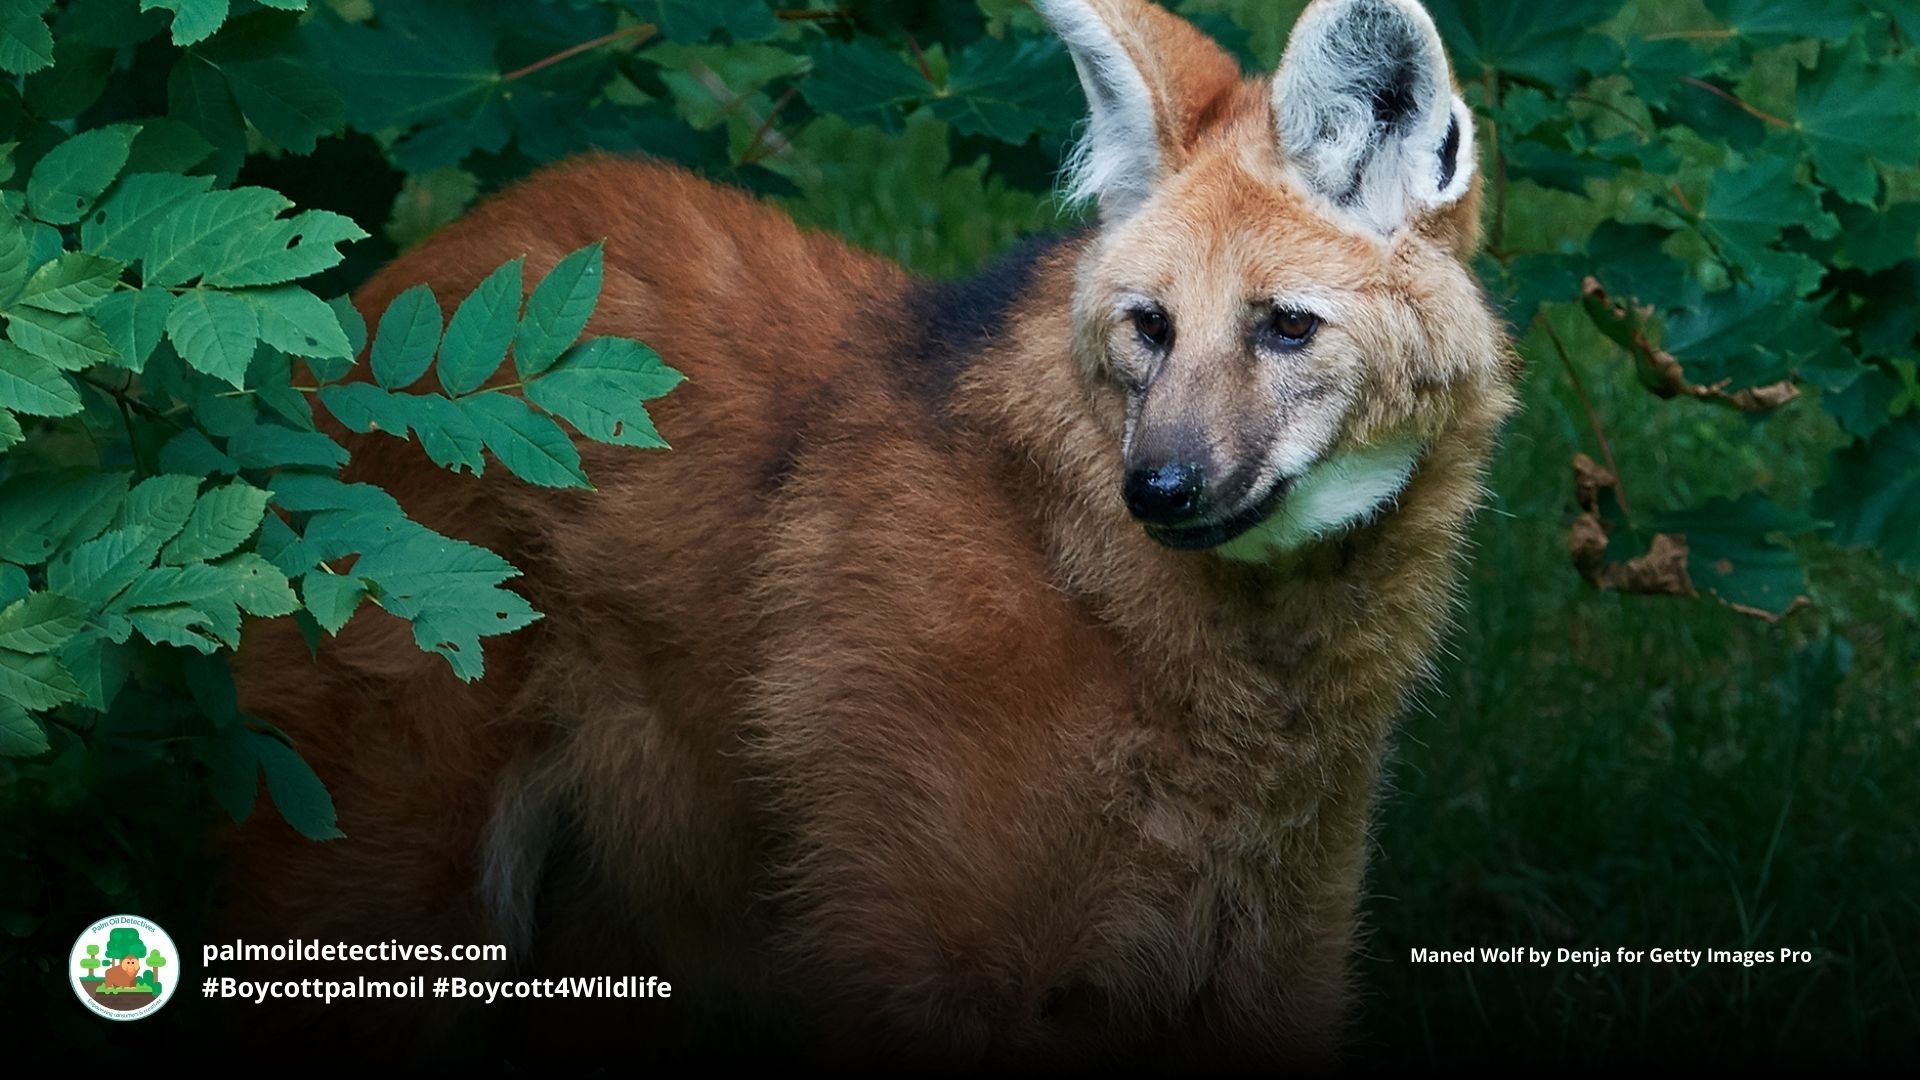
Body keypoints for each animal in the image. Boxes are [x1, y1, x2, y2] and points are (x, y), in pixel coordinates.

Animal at [224, 0, 1516, 1065]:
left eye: (1287, 327)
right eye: (1150, 326)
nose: (1160, 487)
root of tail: (398, 288)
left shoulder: (1273, 957)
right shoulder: (923, 945)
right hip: (396, 872)